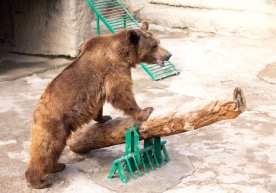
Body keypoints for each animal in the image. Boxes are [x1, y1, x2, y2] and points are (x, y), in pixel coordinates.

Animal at [24, 21, 171, 188]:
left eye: (158, 42)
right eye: (154, 45)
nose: (168, 55)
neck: (123, 55)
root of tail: (36, 111)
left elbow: (101, 104)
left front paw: (104, 117)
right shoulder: (114, 69)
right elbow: (121, 93)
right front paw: (145, 111)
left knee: (55, 148)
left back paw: (57, 166)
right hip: (54, 122)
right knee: (47, 147)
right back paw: (39, 180)